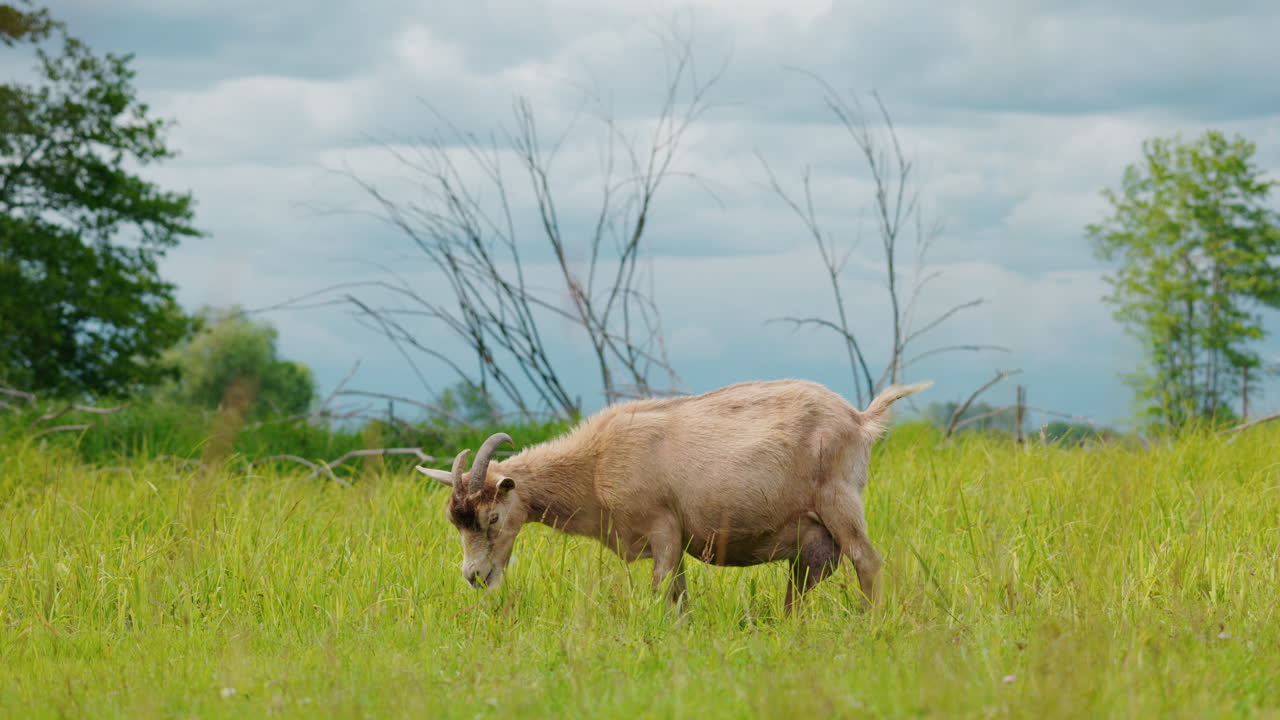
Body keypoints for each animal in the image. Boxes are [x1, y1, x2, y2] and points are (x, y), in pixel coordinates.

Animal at [417, 379, 931, 610]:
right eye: (455, 522)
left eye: (493, 518)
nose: (475, 577)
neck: (595, 463)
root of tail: (860, 419)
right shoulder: (675, 539)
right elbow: (679, 593)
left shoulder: (661, 528)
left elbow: (663, 590)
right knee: (806, 579)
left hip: (839, 502)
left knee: (867, 561)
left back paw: (867, 622)